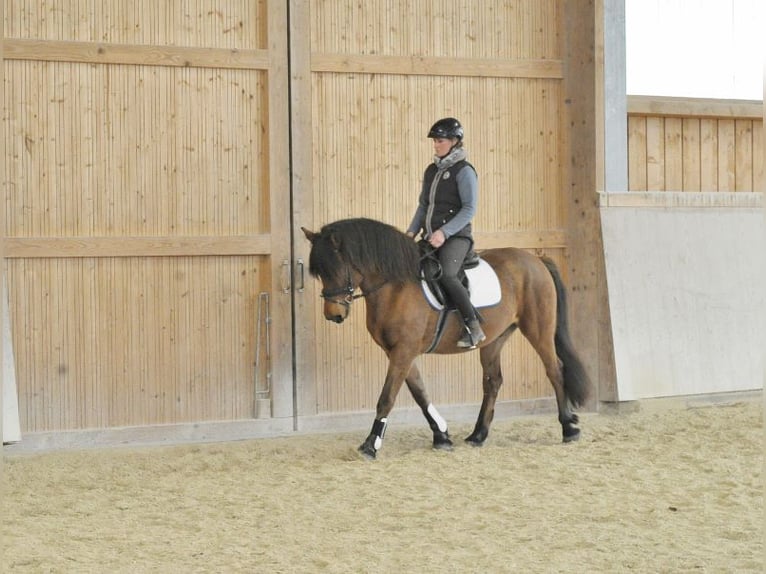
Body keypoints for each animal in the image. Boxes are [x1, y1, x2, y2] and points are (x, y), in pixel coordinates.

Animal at [304, 218, 592, 462]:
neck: (395, 286)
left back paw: (569, 428)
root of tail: (536, 259)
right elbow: (420, 393)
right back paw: (478, 435)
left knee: (554, 370)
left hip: (538, 329)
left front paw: (370, 445)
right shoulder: (399, 352)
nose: (334, 315)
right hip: (494, 339)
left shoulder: (403, 351)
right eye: (320, 273)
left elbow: (387, 397)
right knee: (493, 382)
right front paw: (441, 436)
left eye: (336, 269)